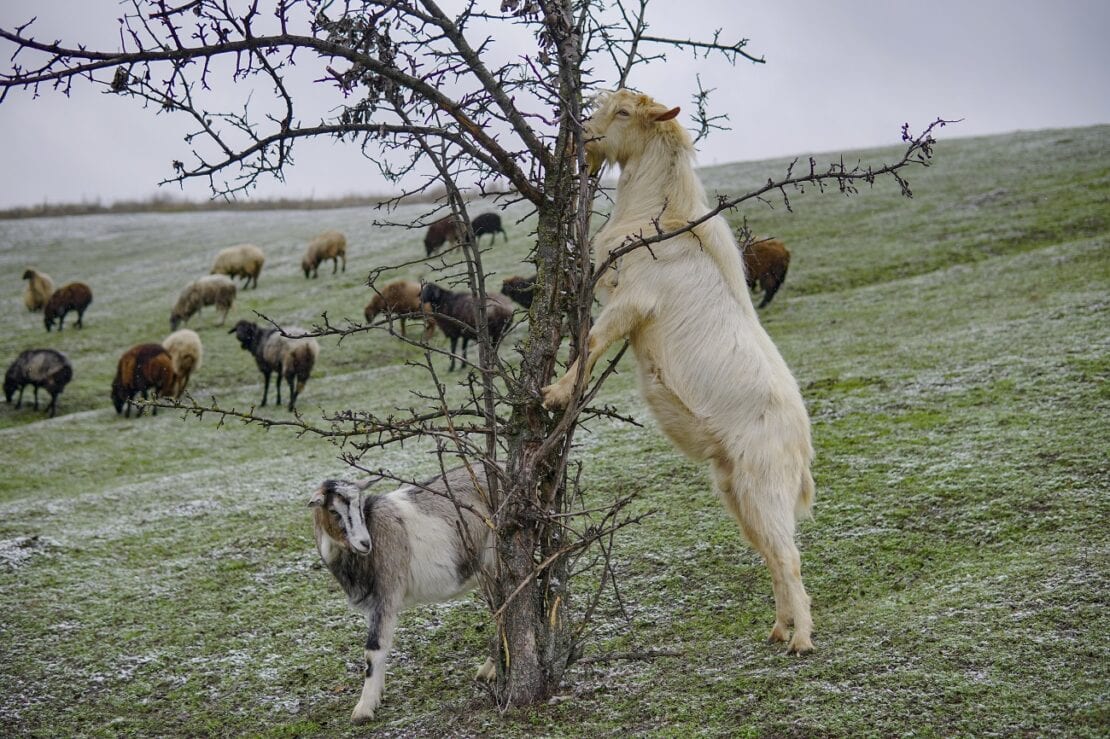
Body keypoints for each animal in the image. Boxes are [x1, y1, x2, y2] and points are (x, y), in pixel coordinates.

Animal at [306, 463, 492, 723]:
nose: (365, 543)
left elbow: (373, 648)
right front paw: (377, 695)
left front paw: (364, 709)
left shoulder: (387, 591)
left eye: (360, 507)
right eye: (333, 511)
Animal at [541, 87, 821, 652]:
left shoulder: (634, 299)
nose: (582, 138)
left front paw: (556, 393)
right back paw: (779, 628)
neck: (660, 218)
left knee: (788, 555)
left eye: (624, 112)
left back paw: (801, 638)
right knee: (770, 553)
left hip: (763, 483)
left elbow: (594, 341)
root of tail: (801, 444)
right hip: (736, 489)